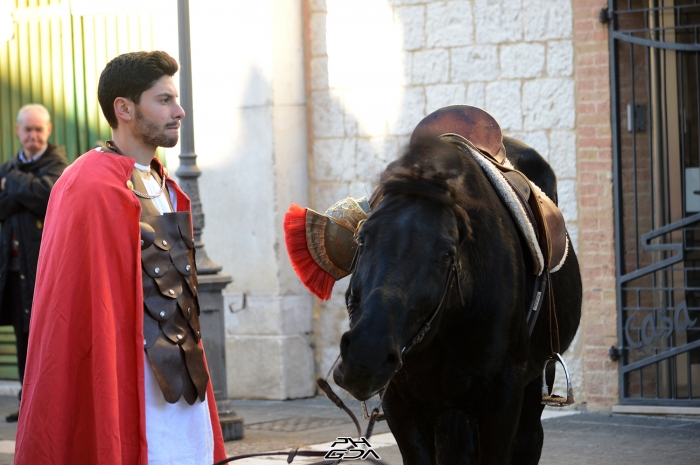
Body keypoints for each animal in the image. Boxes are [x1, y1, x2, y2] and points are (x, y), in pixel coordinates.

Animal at [332, 135, 580, 464]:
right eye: (362, 238)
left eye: (447, 254)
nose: (365, 356)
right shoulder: (400, 402)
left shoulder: (503, 397)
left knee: (528, 440)